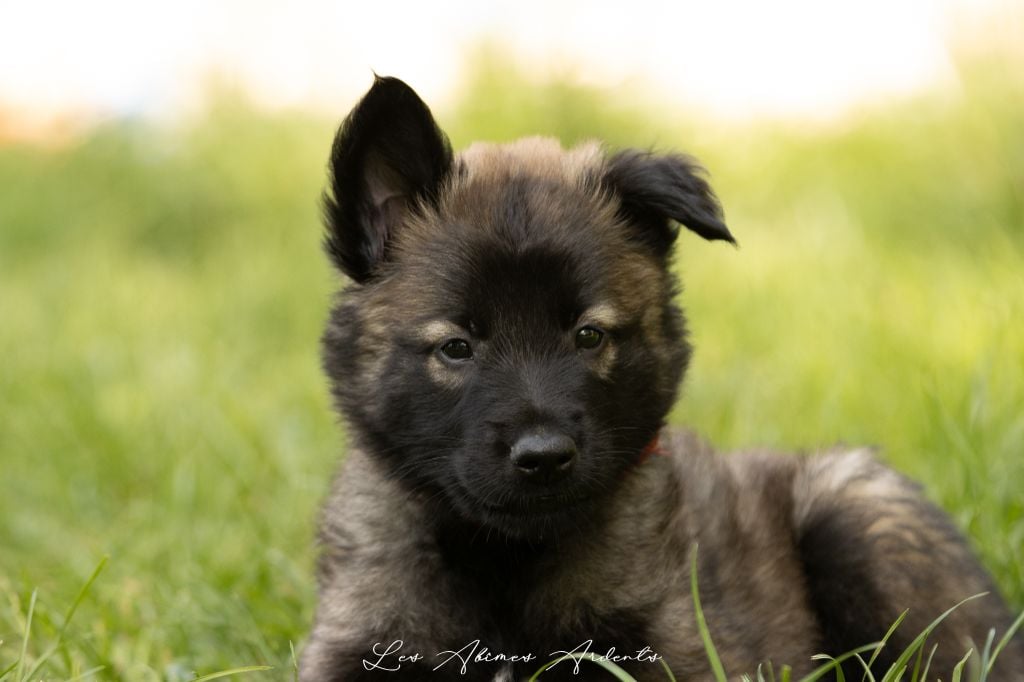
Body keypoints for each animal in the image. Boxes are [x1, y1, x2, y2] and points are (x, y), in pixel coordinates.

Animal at [299, 76, 1024, 675]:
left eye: (589, 335)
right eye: (456, 347)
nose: (544, 457)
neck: (506, 559)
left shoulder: (672, 648)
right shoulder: (357, 642)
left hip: (858, 514)